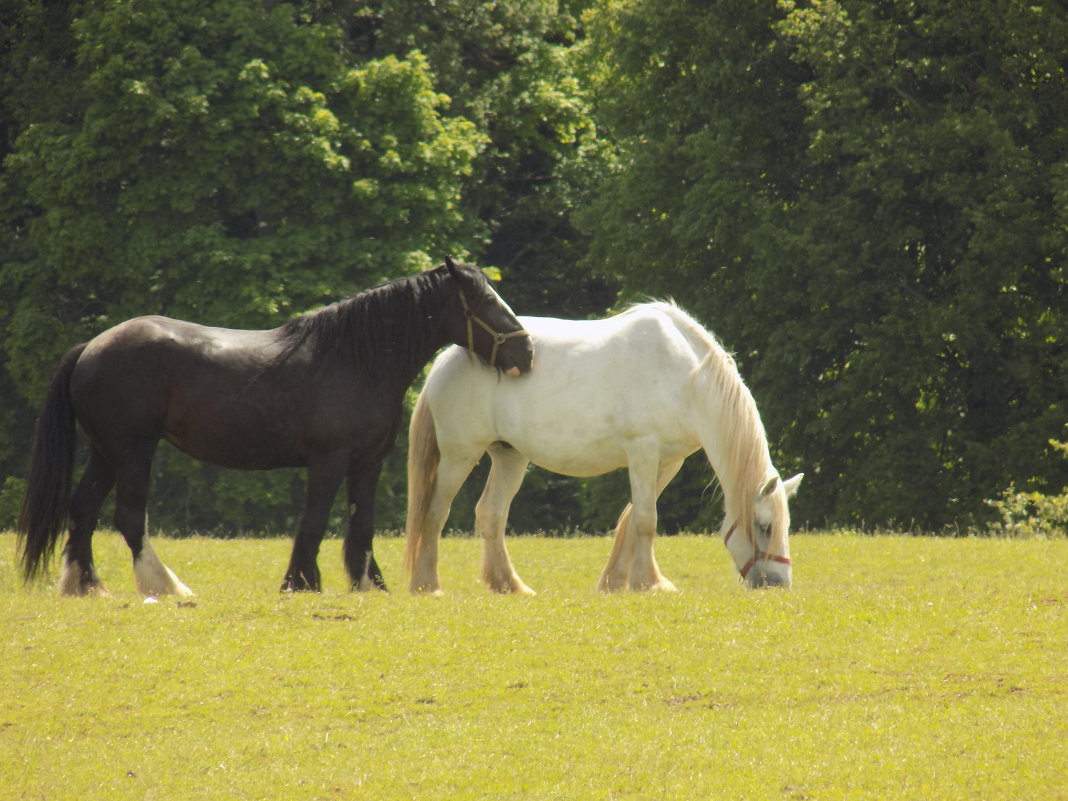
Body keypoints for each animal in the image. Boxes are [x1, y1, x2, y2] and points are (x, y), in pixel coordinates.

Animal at [16, 258, 534, 598]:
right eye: (484, 302)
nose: (526, 351)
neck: (354, 359)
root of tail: (91, 348)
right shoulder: (328, 461)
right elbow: (315, 521)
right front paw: (301, 582)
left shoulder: (367, 463)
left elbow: (361, 523)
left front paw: (369, 584)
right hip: (132, 451)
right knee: (128, 516)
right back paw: (167, 586)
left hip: (107, 452)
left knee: (82, 510)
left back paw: (86, 586)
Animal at [405, 303, 803, 598]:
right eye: (764, 526)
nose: (778, 584)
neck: (685, 377)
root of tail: (447, 359)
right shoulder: (643, 451)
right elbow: (645, 519)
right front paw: (651, 584)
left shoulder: (668, 461)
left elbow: (632, 516)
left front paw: (616, 582)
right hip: (460, 455)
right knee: (435, 512)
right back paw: (428, 586)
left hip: (510, 456)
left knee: (491, 514)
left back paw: (510, 586)